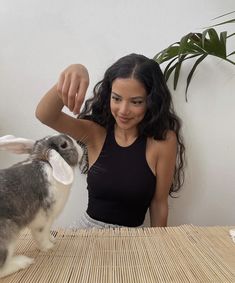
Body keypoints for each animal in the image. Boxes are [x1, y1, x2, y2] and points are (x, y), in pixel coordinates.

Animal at [0, 134, 84, 278]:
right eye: (64, 145)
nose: (80, 146)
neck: (47, 164)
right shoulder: (41, 220)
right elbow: (41, 236)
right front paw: (49, 247)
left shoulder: (49, 220)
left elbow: (48, 232)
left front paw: (53, 239)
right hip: (7, 237)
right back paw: (22, 262)